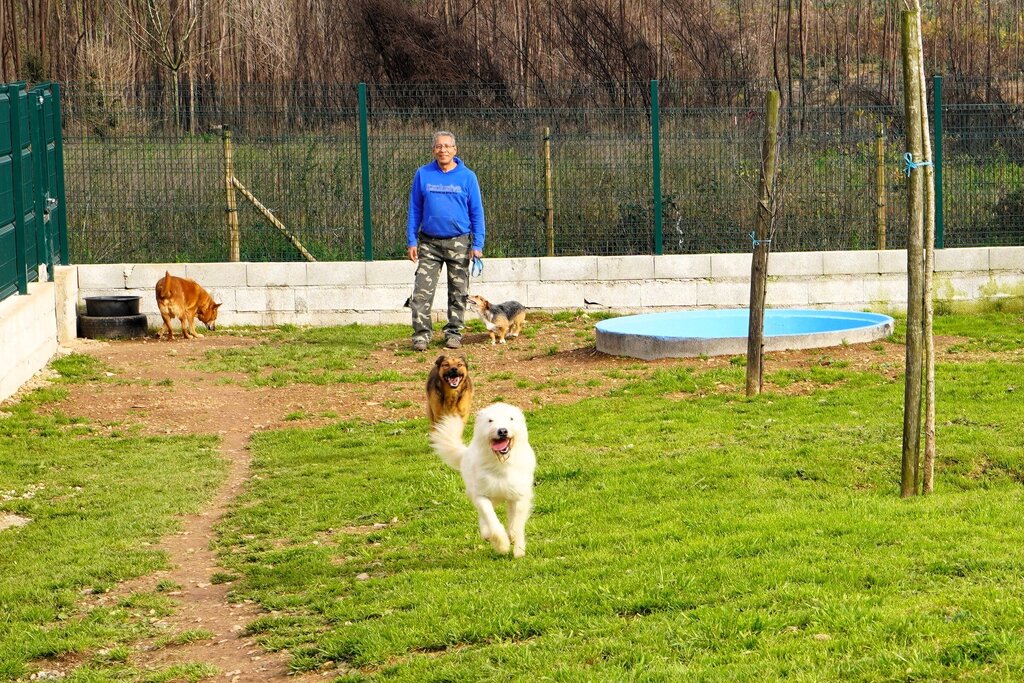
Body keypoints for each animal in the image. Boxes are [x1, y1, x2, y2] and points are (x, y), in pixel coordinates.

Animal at [430, 403, 536, 557]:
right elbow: (490, 517)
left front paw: (518, 549)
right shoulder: (481, 495)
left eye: (511, 418)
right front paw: (501, 545)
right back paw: (488, 534)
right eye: (490, 420)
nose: (502, 431)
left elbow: (517, 524)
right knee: (483, 517)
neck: (501, 465)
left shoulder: (520, 496)